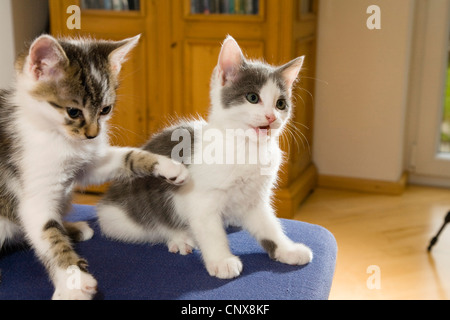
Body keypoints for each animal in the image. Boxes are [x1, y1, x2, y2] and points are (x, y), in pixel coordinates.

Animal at [0, 35, 188, 300]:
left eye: (105, 110)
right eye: (73, 111)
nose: (92, 134)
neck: (58, 136)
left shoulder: (88, 166)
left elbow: (125, 157)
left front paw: (168, 166)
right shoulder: (33, 194)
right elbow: (47, 232)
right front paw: (73, 281)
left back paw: (73, 228)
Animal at [99, 35, 312, 280]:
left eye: (281, 104)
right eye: (252, 97)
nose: (271, 117)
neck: (246, 148)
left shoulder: (255, 198)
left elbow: (269, 227)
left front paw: (288, 250)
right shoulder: (201, 200)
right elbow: (211, 231)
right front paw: (221, 261)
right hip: (122, 217)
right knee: (153, 228)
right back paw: (180, 237)